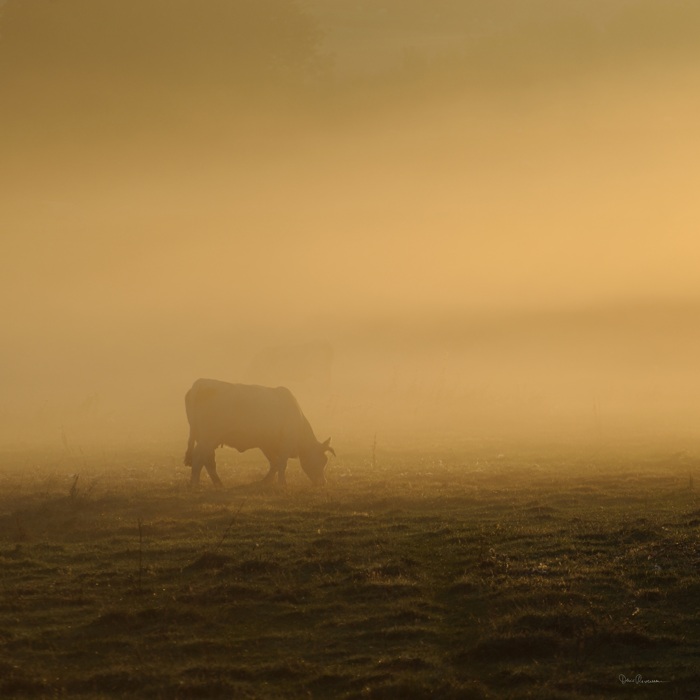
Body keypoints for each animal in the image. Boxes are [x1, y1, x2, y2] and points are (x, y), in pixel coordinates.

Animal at [182, 378, 332, 486]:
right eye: (323, 460)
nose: (323, 482)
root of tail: (200, 383)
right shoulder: (286, 443)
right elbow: (282, 464)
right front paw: (282, 484)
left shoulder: (266, 444)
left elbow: (275, 463)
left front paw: (266, 481)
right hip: (208, 438)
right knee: (198, 457)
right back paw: (195, 483)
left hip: (206, 438)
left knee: (208, 459)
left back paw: (218, 483)